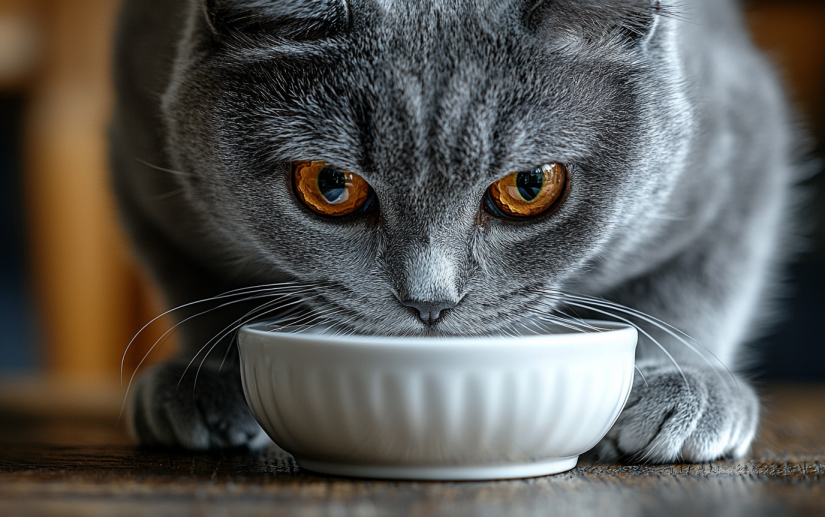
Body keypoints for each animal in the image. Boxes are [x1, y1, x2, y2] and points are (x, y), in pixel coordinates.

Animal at [109, 0, 800, 462]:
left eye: (530, 186)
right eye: (331, 185)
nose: (429, 301)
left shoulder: (742, 140)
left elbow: (699, 281)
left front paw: (685, 387)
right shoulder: (147, 166)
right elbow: (195, 286)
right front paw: (207, 382)